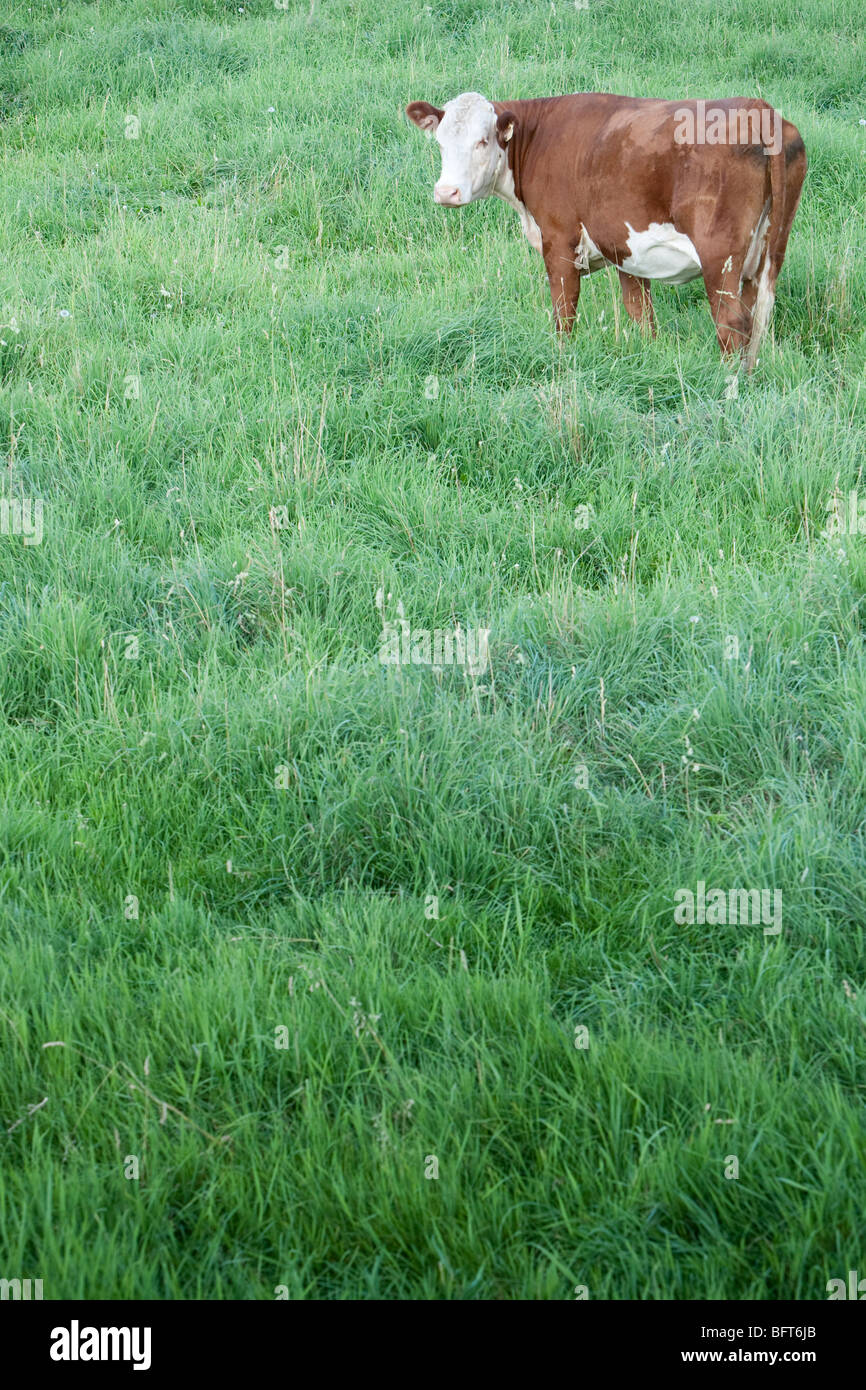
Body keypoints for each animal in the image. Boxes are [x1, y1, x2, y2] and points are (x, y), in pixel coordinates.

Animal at [406, 92, 806, 369]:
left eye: (483, 141)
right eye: (440, 142)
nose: (446, 192)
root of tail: (760, 109)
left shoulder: (559, 241)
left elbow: (564, 312)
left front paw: (561, 360)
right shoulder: (626, 250)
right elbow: (640, 313)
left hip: (719, 257)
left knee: (732, 322)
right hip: (767, 252)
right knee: (755, 317)